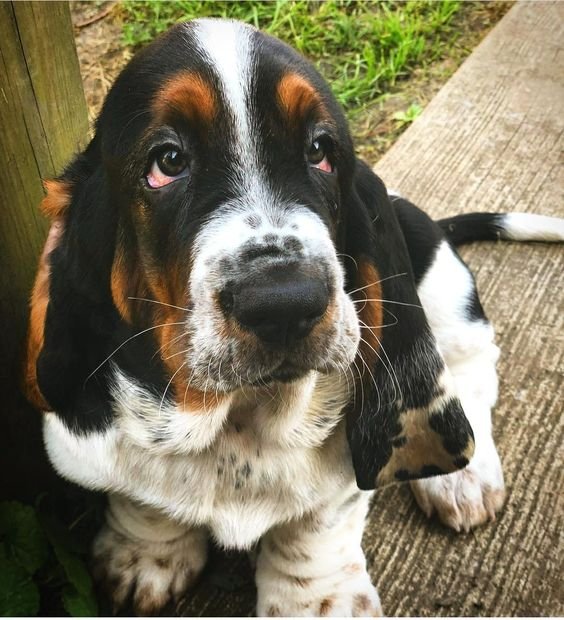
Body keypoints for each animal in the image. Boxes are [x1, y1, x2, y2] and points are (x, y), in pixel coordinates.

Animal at [23, 18, 564, 616]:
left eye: (321, 150)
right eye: (167, 162)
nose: (284, 302)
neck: (240, 417)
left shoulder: (345, 476)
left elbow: (317, 527)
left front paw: (316, 599)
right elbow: (141, 494)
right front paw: (144, 553)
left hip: (441, 276)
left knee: (472, 367)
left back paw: (462, 483)